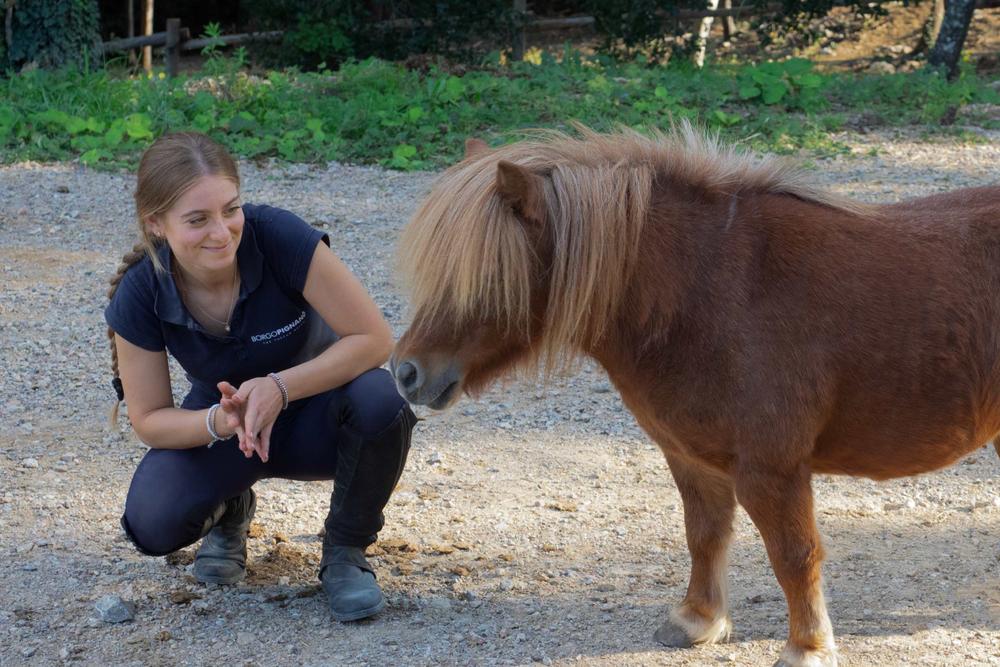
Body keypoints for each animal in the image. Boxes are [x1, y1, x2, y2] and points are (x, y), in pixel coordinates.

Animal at [388, 126, 1000, 667]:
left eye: (485, 277)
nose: (406, 373)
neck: (716, 294)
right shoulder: (693, 459)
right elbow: (704, 536)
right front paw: (697, 622)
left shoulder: (771, 469)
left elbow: (794, 556)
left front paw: (807, 648)